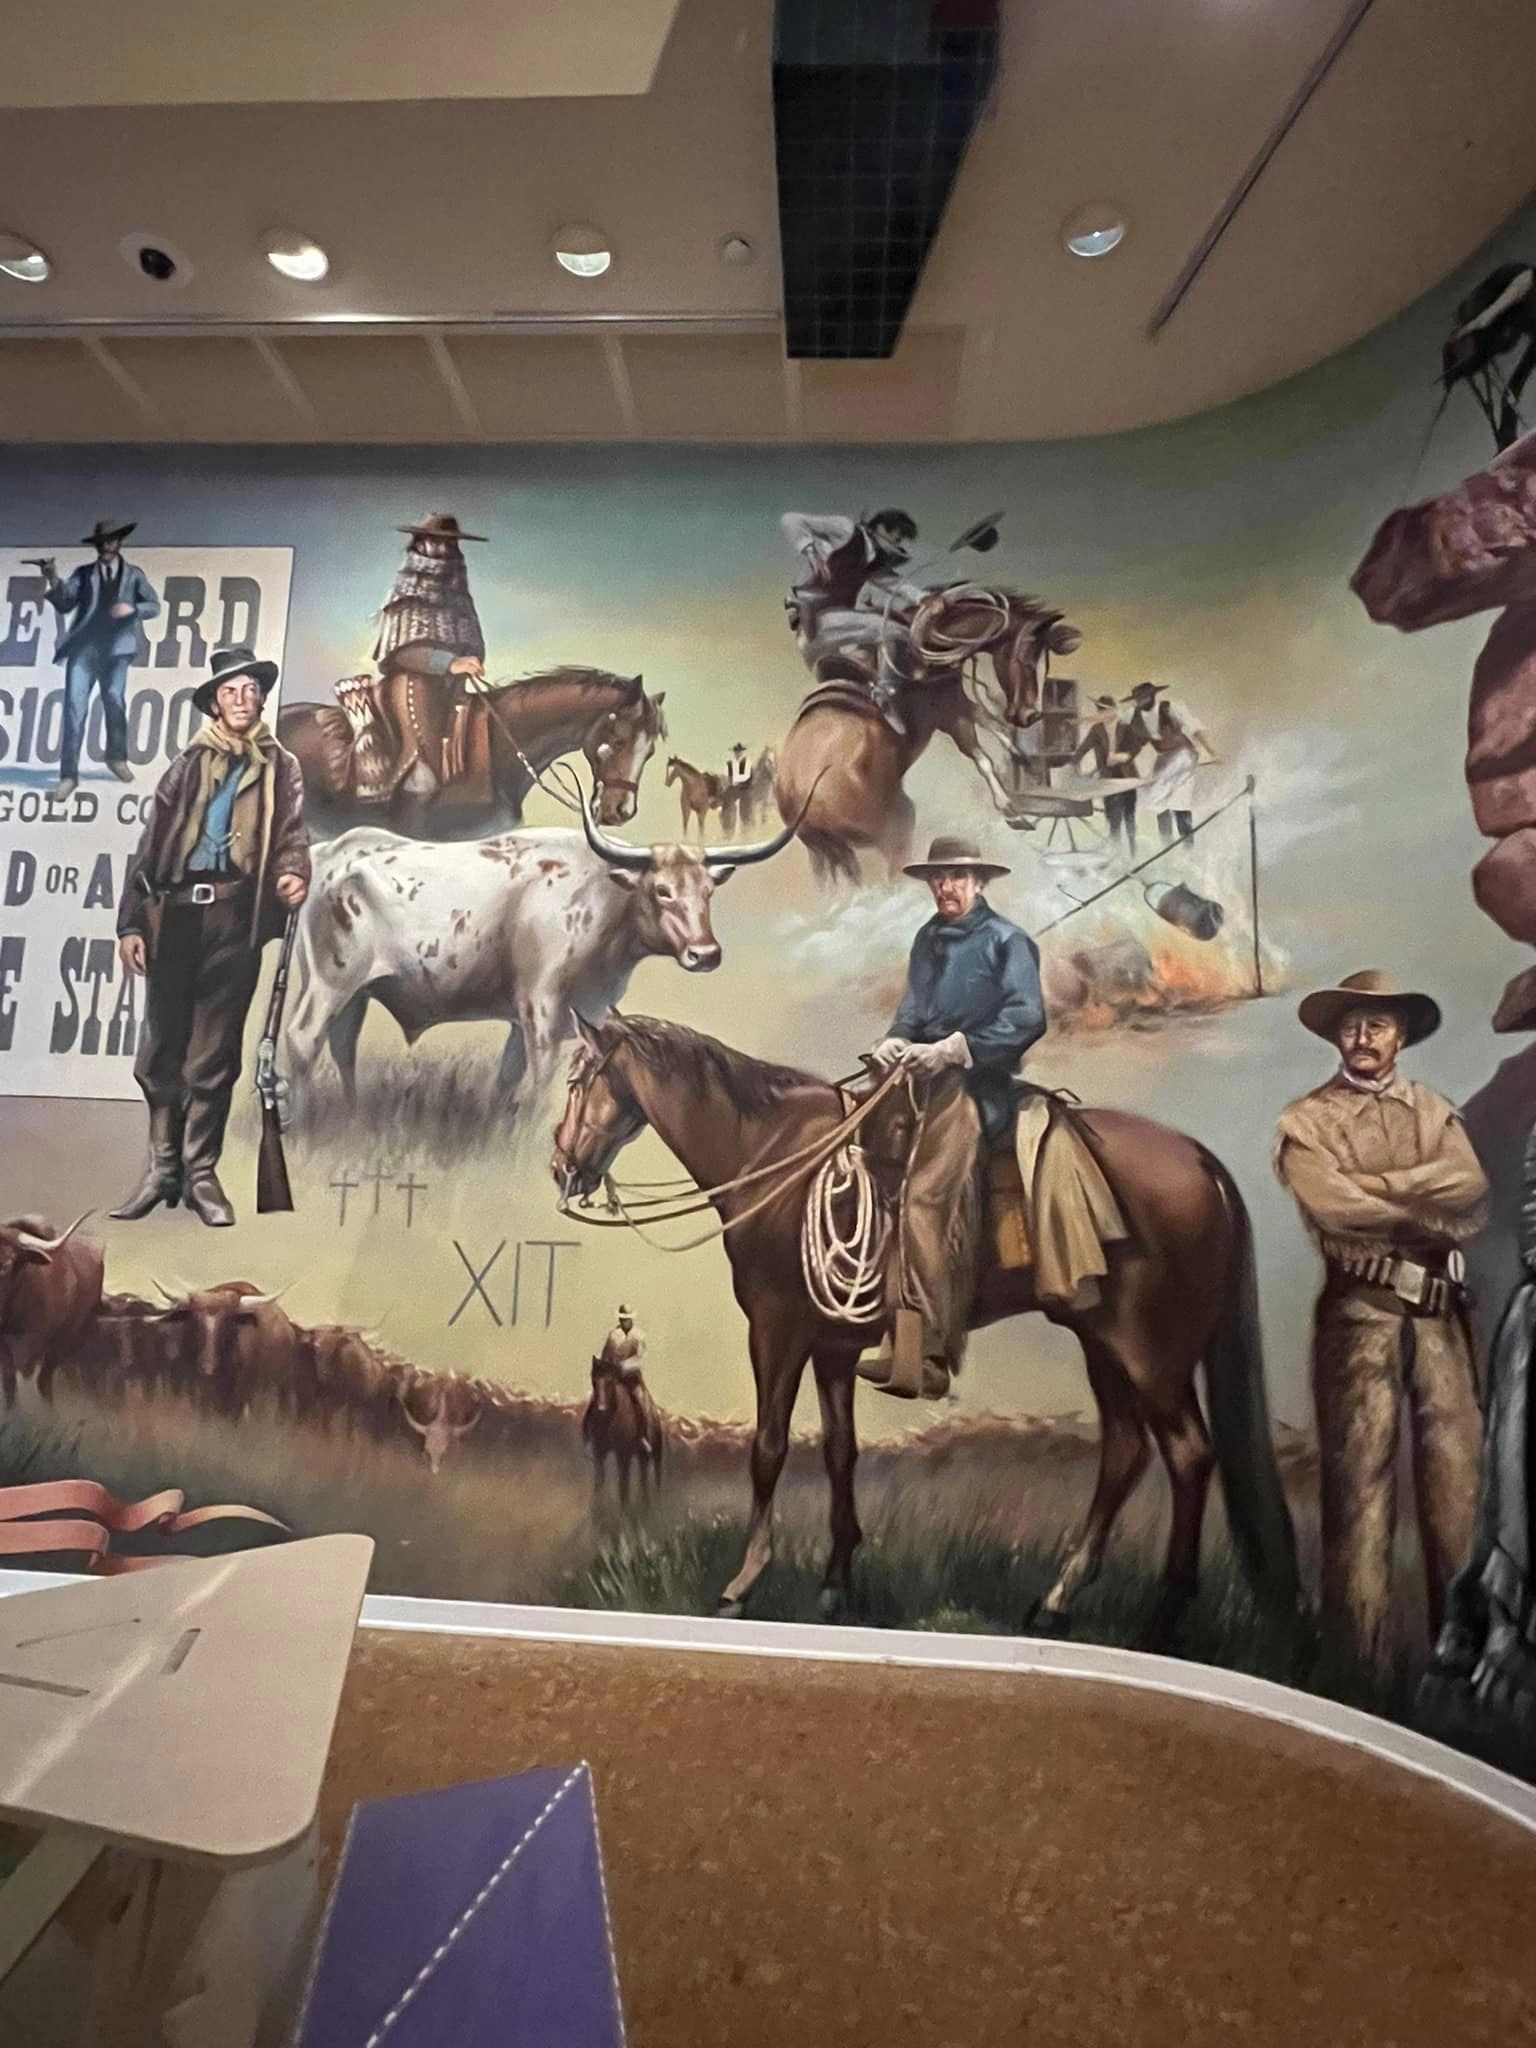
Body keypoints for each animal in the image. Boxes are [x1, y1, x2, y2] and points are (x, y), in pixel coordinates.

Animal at [283, 796, 802, 1119]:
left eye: (708, 890)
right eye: (662, 890)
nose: (705, 953)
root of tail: (332, 851)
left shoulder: (539, 1015)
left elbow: (508, 1079)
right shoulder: (542, 1007)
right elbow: (540, 1078)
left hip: (356, 991)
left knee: (341, 1046)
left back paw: (350, 1113)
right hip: (331, 981)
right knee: (303, 1040)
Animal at [582, 1355, 666, 1507]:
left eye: (610, 1381)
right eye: (594, 1381)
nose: (601, 1409)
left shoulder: (623, 1454)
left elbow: (623, 1486)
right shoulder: (600, 1453)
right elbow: (599, 1483)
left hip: (655, 1455)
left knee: (654, 1479)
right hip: (642, 1457)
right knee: (643, 1479)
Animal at [775, 591, 1081, 886]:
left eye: (1046, 663)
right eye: (1025, 659)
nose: (1030, 716)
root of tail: (801, 796)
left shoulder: (957, 703)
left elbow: (992, 725)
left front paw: (1022, 759)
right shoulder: (951, 713)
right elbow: (981, 755)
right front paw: (1011, 810)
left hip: (826, 856)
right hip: (895, 831)